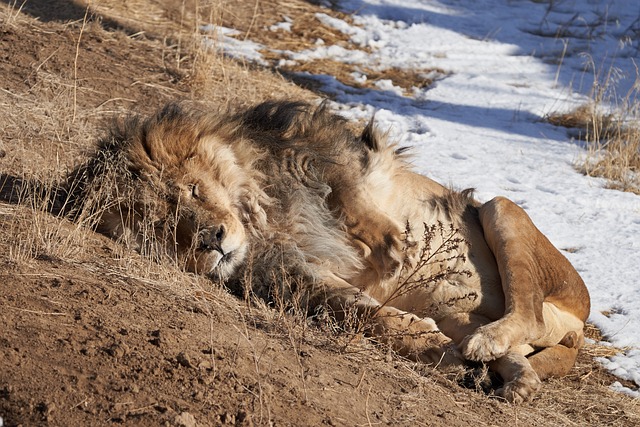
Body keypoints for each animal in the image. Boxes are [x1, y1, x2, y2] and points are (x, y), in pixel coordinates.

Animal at [61, 102, 592, 402]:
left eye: (192, 190)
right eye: (162, 226)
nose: (212, 239)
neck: (264, 221)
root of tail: (578, 322)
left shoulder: (331, 157)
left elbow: (350, 197)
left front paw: (393, 248)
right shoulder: (298, 274)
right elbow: (361, 312)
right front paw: (428, 345)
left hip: (502, 210)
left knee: (529, 312)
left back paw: (491, 351)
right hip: (465, 313)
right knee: (518, 341)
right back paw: (505, 375)